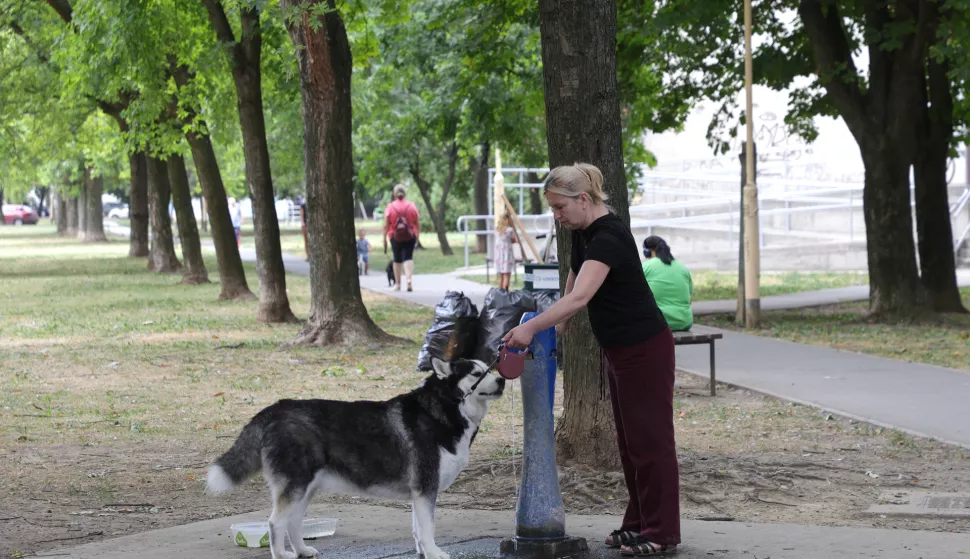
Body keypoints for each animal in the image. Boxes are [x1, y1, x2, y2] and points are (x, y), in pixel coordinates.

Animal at [206, 358, 506, 559]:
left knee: (293, 522)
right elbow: (428, 528)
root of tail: (275, 408)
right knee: (275, 523)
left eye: (489, 369)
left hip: (306, 488)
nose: (503, 379)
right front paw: (434, 552)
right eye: (477, 373)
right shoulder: (425, 487)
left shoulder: (419, 492)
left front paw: (423, 551)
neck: (445, 408)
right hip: (296, 485)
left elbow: (418, 530)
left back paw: (303, 550)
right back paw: (282, 554)